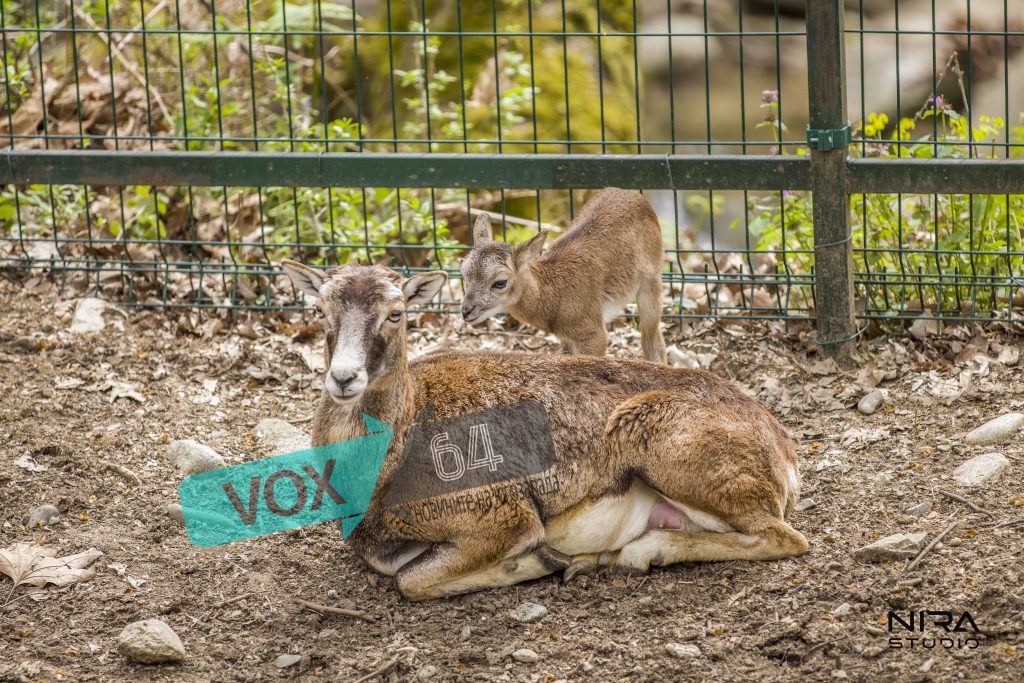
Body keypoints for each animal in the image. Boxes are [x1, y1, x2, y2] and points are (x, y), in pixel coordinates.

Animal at [280, 259, 807, 601]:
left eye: (396, 313)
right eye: (322, 311)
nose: (344, 377)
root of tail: (783, 448)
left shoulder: (501, 516)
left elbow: (410, 581)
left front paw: (537, 562)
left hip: (667, 449)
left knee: (785, 538)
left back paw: (633, 553)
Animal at [459, 188, 668, 363]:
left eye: (500, 282)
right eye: (464, 273)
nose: (466, 311)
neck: (555, 296)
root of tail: (635, 195)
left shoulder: (594, 334)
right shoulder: (566, 338)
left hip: (651, 282)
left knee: (652, 337)